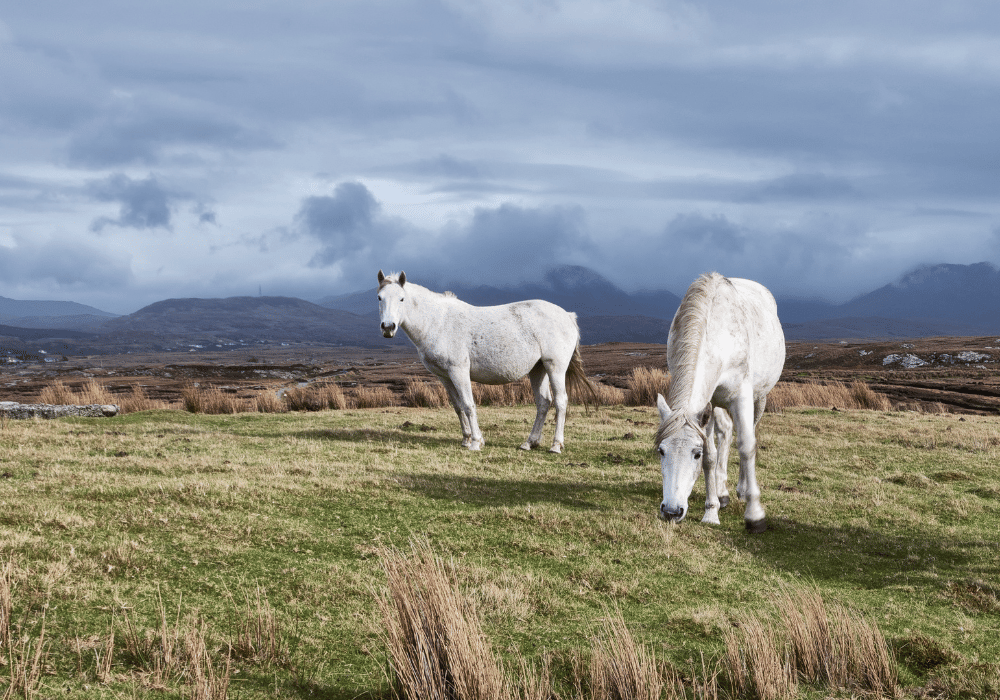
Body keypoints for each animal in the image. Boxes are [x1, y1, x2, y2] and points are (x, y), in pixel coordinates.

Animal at [376, 268, 592, 454]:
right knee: (543, 403)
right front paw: (466, 439)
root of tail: (568, 316)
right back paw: (529, 443)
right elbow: (458, 407)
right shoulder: (444, 377)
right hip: (538, 369)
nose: (388, 327)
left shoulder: (459, 371)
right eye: (379, 297)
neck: (438, 322)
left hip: (555, 367)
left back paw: (556, 445)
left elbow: (469, 405)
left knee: (561, 402)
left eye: (402, 298)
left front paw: (475, 442)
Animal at [656, 272, 788, 532]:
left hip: (759, 399)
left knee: (748, 435)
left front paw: (755, 515)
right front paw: (711, 511)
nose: (671, 511)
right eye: (661, 451)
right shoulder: (705, 404)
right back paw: (722, 493)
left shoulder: (741, 397)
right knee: (724, 433)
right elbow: (712, 456)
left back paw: (742, 490)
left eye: (694, 454)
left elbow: (747, 446)